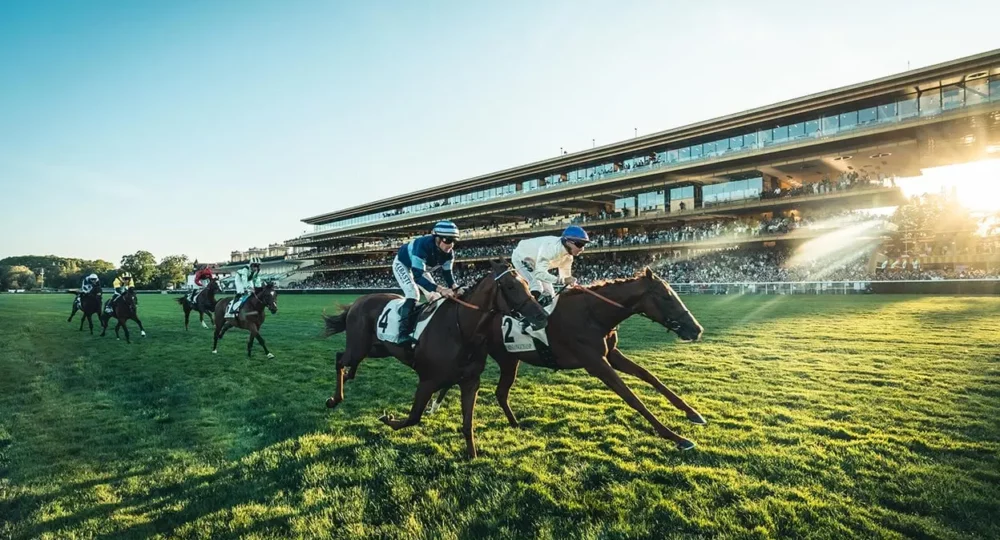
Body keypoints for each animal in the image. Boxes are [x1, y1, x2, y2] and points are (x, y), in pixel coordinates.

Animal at [322, 260, 548, 458]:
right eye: (510, 286)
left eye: (526, 283)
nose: (542, 316)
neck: (461, 331)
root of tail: (358, 301)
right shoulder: (428, 381)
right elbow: (413, 418)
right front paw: (388, 418)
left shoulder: (470, 382)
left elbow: (467, 423)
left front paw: (472, 455)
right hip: (359, 346)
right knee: (340, 359)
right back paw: (334, 399)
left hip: (378, 348)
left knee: (347, 360)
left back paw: (348, 377)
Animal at [434, 266, 708, 452]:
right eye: (666, 297)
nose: (696, 329)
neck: (592, 314)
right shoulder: (596, 363)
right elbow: (632, 397)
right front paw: (676, 437)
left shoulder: (611, 355)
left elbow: (650, 377)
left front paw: (692, 413)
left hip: (509, 361)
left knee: (501, 393)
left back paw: (515, 423)